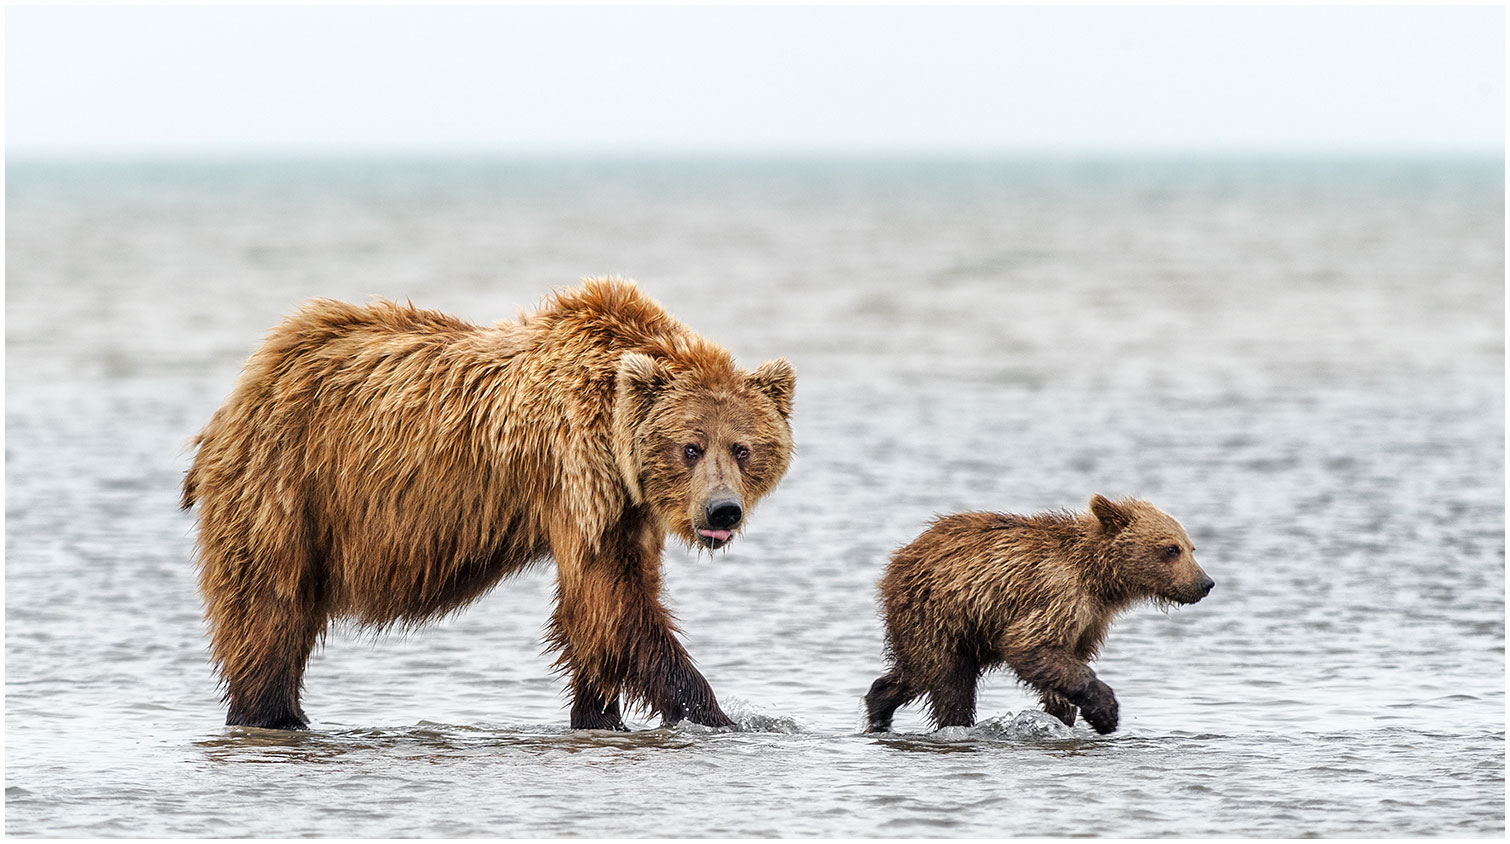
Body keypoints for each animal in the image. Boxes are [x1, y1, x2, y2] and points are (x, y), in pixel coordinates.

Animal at [181, 279, 797, 733]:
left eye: (742, 448)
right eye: (691, 447)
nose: (722, 511)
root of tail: (247, 383)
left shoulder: (630, 509)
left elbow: (601, 612)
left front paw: (598, 712)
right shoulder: (577, 474)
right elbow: (612, 602)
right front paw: (724, 715)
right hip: (287, 488)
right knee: (269, 611)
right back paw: (272, 713)